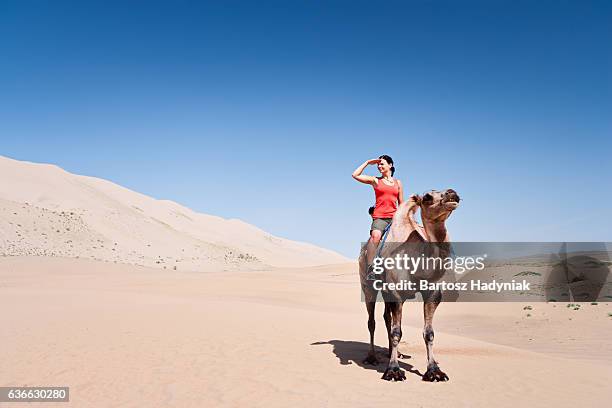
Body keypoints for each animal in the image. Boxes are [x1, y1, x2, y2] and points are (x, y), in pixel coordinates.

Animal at [358, 190, 460, 380]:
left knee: (387, 318)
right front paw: (393, 370)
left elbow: (429, 333)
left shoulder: (432, 294)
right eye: (427, 197)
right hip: (368, 286)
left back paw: (395, 353)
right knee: (372, 321)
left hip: (387, 293)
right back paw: (372, 357)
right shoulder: (396, 293)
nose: (452, 193)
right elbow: (396, 332)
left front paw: (434, 371)